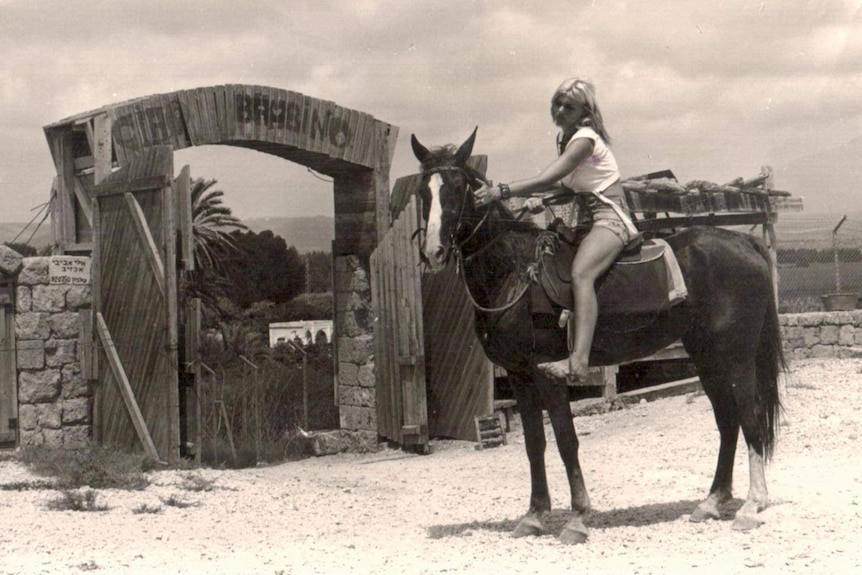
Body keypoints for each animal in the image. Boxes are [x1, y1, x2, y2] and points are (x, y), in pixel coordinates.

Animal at [412, 129, 784, 544]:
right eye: (423, 191)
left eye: (457, 187)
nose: (433, 252)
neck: (515, 270)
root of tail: (745, 244)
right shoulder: (520, 376)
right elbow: (534, 443)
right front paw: (534, 515)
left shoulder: (546, 375)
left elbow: (566, 440)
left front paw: (577, 517)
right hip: (707, 359)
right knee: (727, 421)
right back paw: (712, 501)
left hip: (737, 358)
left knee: (750, 417)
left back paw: (752, 505)